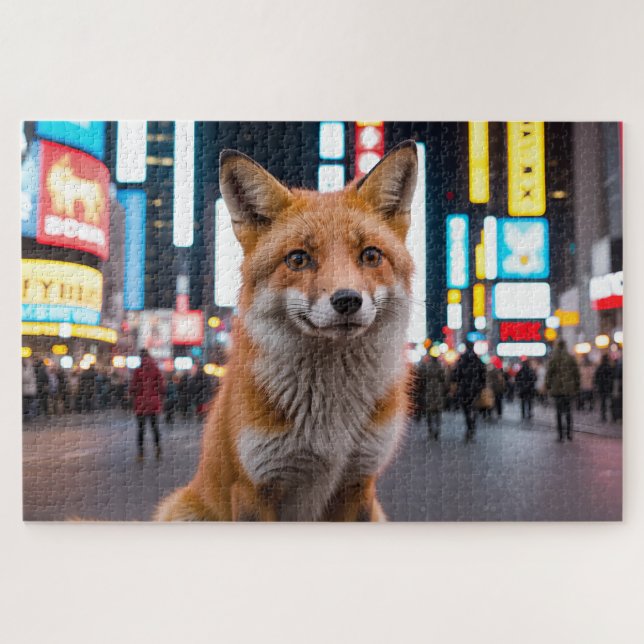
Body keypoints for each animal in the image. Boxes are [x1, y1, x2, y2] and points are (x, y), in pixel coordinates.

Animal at [155, 140, 418, 521]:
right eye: (298, 259)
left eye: (370, 256)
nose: (347, 300)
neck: (330, 420)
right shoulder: (253, 488)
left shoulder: (359, 482)